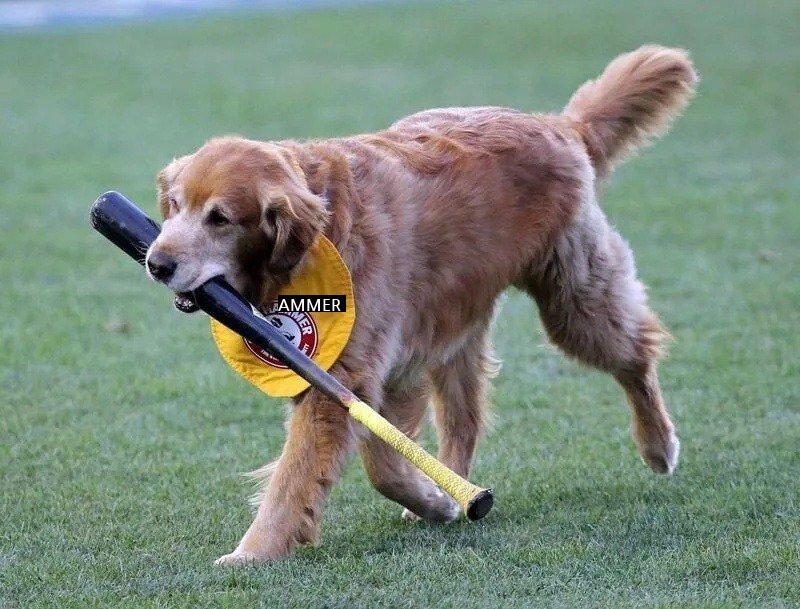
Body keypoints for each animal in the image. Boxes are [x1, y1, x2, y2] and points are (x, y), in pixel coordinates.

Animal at [147, 45, 696, 564]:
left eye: (220, 218)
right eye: (175, 206)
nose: (156, 262)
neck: (323, 231)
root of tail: (560, 125)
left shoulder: (349, 375)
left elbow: (336, 468)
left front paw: (255, 551)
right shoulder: (369, 369)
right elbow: (384, 455)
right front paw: (438, 500)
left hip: (575, 303)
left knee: (636, 355)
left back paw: (658, 444)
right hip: (455, 330)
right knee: (465, 421)